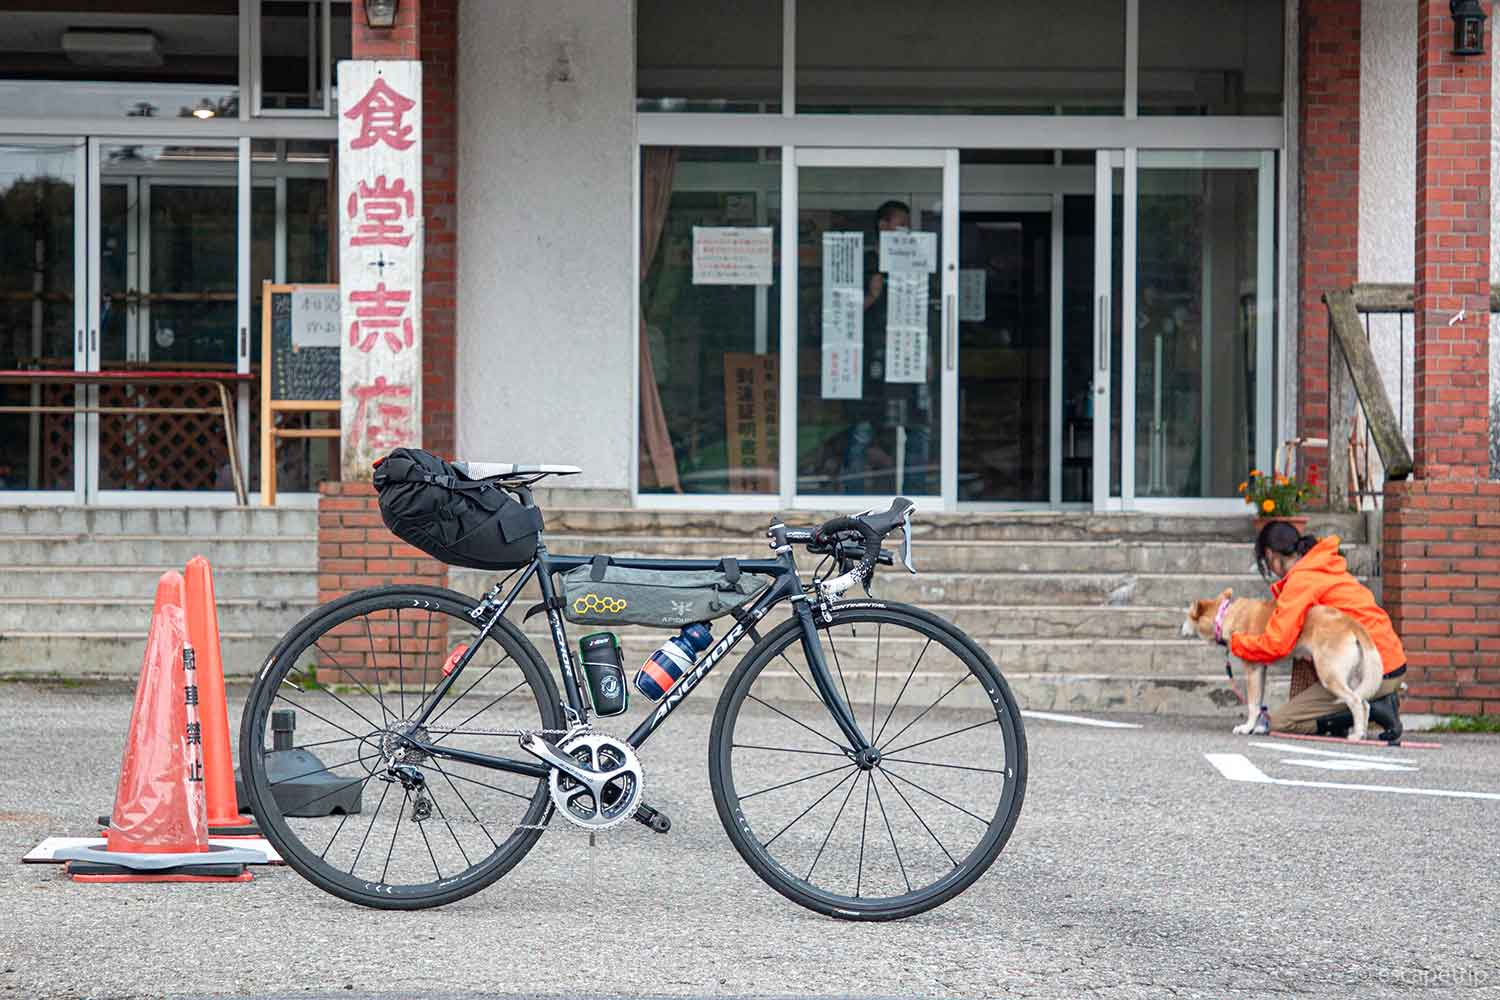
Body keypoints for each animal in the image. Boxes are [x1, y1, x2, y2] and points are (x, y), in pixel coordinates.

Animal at [1182, 590, 1380, 740]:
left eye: (1187, 617)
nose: (1180, 629)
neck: (1224, 615)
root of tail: (1350, 622)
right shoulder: (1261, 669)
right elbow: (1259, 702)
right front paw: (1258, 727)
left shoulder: (1252, 670)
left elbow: (1252, 704)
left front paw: (1247, 728)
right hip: (1353, 678)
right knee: (1365, 703)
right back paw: (1362, 733)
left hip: (1330, 676)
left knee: (1355, 701)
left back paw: (1356, 736)